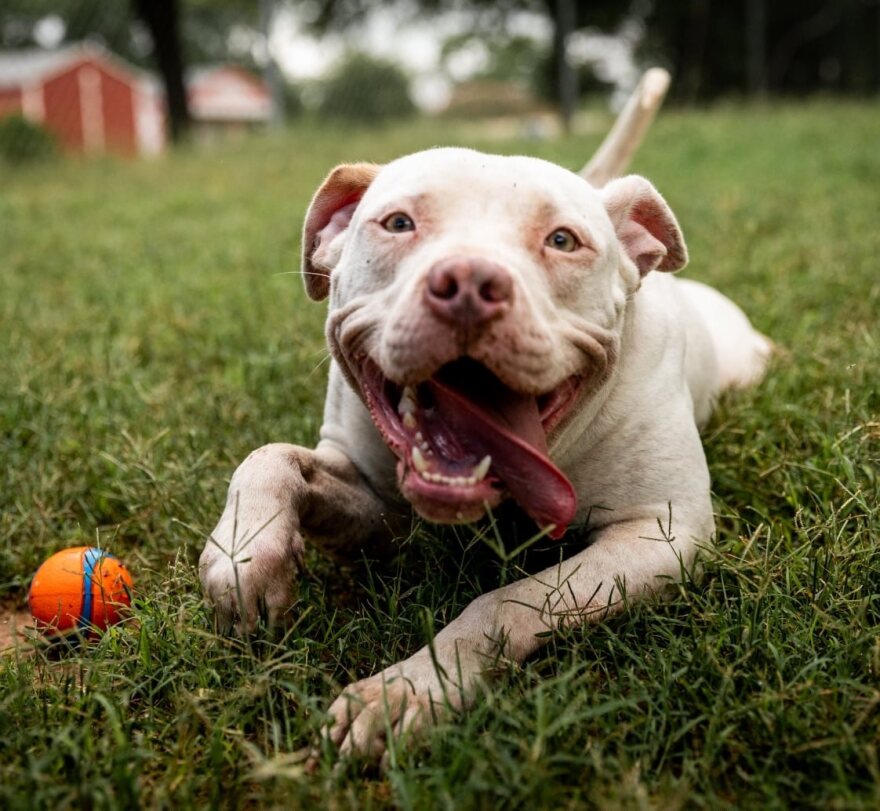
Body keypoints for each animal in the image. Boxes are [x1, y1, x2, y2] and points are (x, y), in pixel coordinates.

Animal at [198, 71, 768, 760]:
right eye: (397, 223)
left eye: (562, 240)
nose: (468, 282)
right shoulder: (378, 506)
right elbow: (269, 458)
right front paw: (243, 555)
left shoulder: (660, 534)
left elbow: (506, 602)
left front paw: (410, 689)